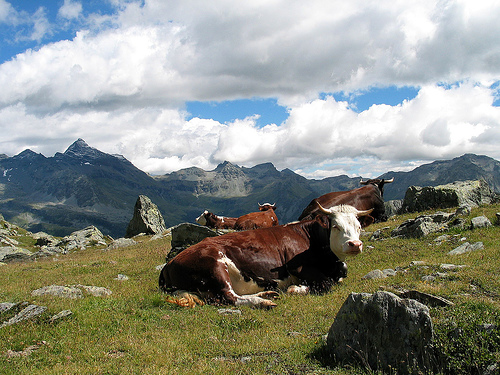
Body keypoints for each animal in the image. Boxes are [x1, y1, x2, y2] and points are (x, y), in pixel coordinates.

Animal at [158, 206, 374, 308]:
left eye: (358, 226)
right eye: (335, 226)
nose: (355, 245)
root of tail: (169, 264)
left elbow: (334, 279)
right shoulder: (297, 267)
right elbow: (326, 283)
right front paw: (297, 288)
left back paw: (267, 294)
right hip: (214, 264)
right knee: (228, 297)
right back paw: (264, 302)